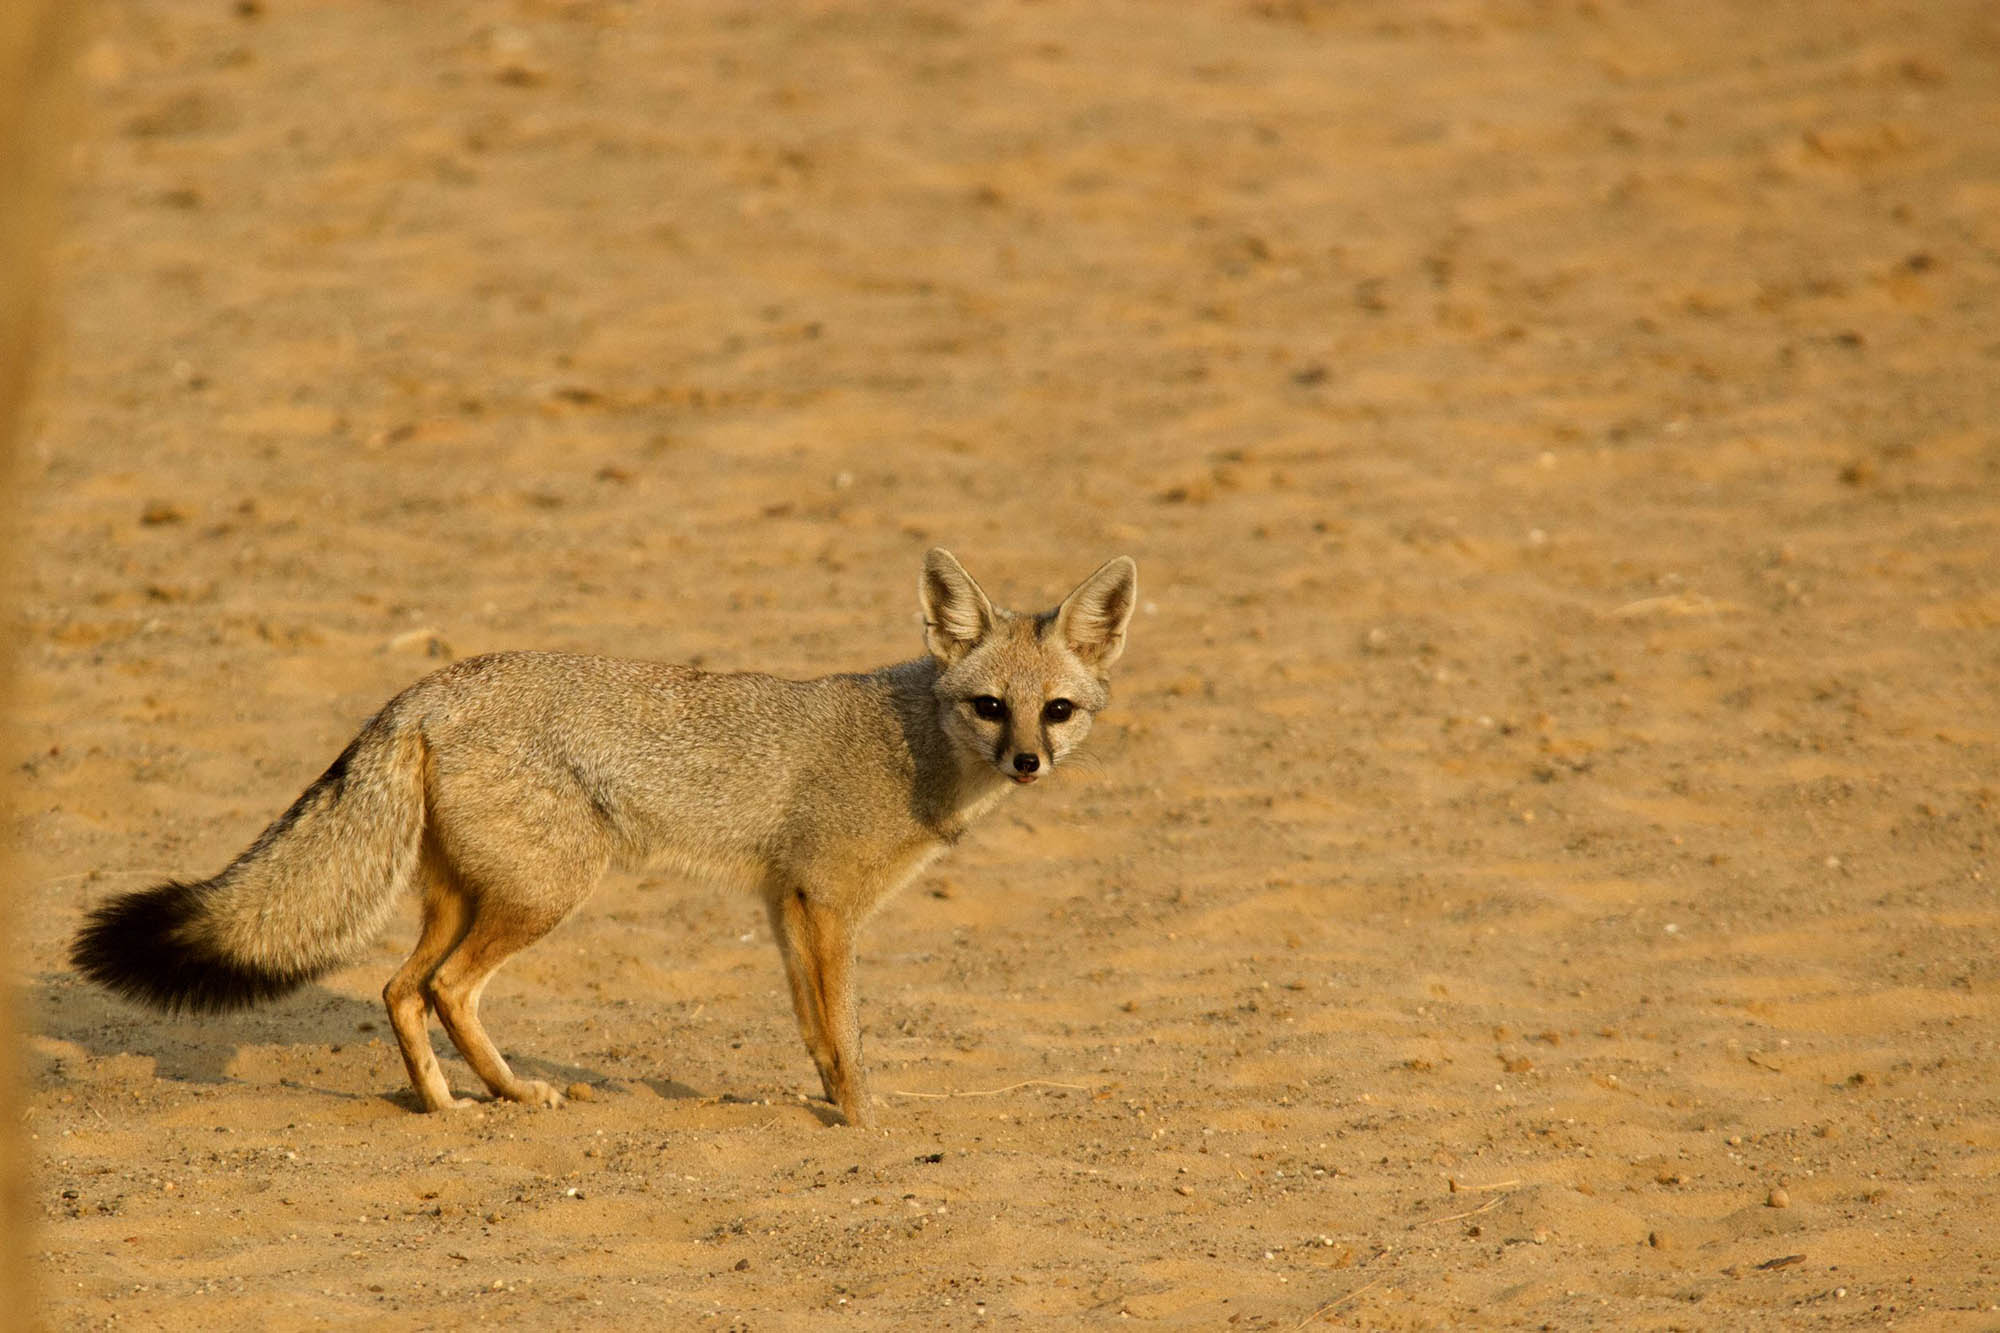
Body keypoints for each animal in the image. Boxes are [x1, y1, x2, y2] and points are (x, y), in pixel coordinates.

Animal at [74, 548, 1144, 1120]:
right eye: (988, 705)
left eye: (1055, 710)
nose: (1028, 763)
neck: (912, 741)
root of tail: (425, 687)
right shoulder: (827, 905)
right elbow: (844, 1033)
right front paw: (863, 1117)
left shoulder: (782, 901)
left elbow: (809, 1027)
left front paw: (827, 1100)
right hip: (549, 890)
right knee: (445, 988)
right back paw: (488, 1098)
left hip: (465, 898)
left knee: (400, 989)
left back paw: (464, 1101)